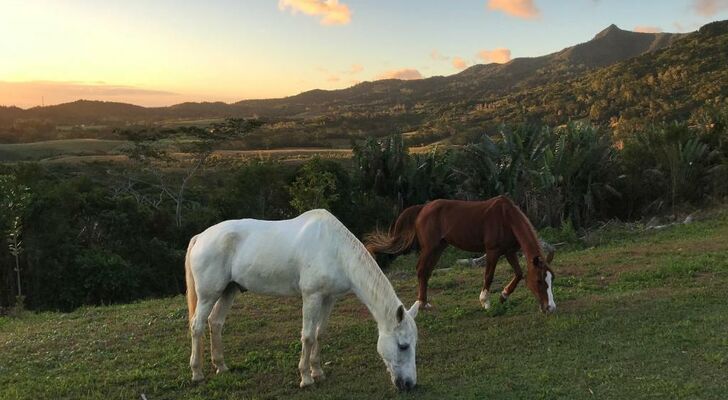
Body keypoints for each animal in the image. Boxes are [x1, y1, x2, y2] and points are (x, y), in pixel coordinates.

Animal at [185, 209, 418, 390]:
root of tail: (200, 237)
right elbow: (307, 336)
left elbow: (319, 334)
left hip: (229, 291)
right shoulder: (311, 297)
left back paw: (221, 366)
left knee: (215, 323)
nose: (409, 384)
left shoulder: (329, 299)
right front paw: (306, 378)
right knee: (197, 326)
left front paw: (317, 371)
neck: (334, 249)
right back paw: (197, 373)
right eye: (403, 346)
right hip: (208, 295)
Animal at [366, 196, 556, 312]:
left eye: (551, 279)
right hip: (430, 247)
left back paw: (425, 303)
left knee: (426, 271)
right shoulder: (492, 251)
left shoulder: (509, 251)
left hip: (439, 248)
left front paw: (503, 296)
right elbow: (489, 276)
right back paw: (421, 304)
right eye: (539, 281)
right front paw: (485, 302)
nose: (550, 307)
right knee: (420, 270)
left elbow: (518, 274)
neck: (505, 218)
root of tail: (424, 208)